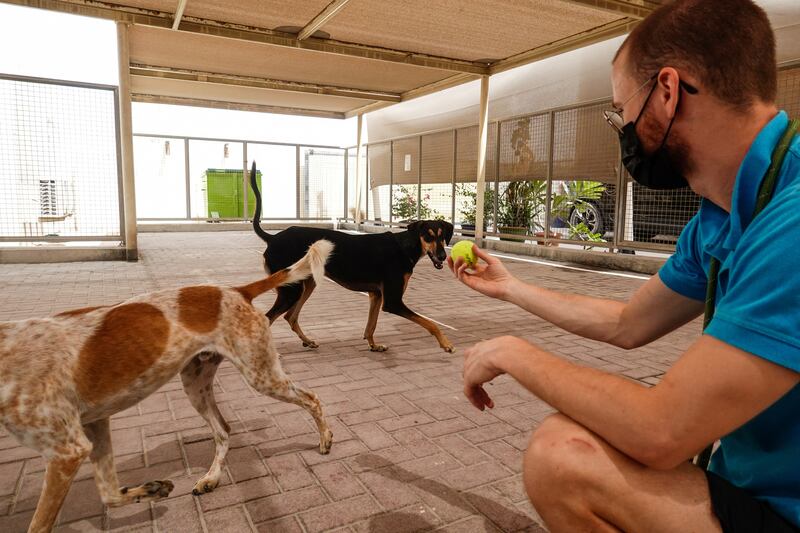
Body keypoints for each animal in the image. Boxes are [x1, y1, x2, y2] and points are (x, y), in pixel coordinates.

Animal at [0, 242, 334, 532]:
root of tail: (237, 290)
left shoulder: (67, 452)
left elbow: (40, 523)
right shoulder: (94, 427)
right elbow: (109, 493)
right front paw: (153, 490)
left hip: (261, 375)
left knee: (313, 397)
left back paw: (325, 439)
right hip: (196, 385)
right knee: (223, 430)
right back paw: (211, 478)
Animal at [247, 162, 454, 354]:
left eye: (442, 236)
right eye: (428, 236)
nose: (443, 256)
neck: (403, 247)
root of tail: (272, 238)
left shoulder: (376, 295)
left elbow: (371, 326)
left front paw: (374, 345)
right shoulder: (392, 301)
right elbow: (430, 323)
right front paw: (446, 343)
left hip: (306, 284)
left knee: (290, 316)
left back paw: (307, 341)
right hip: (291, 290)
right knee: (269, 318)